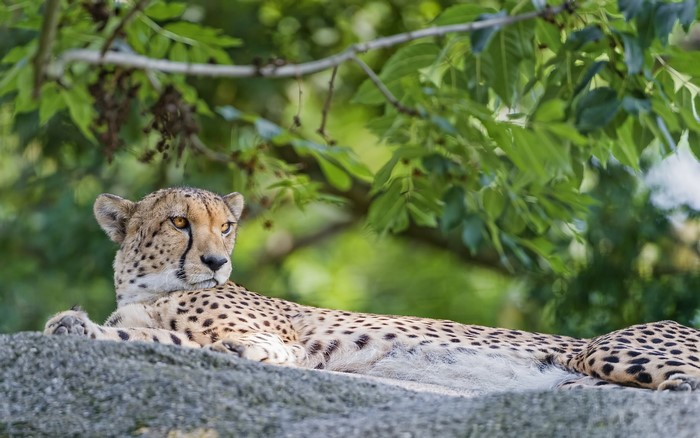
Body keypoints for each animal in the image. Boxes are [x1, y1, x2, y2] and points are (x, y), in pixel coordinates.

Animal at [44, 187, 700, 394]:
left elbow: (190, 346)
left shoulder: (272, 349)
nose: (215, 260)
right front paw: (72, 323)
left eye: (226, 225)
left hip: (606, 347)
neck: (150, 289)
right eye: (179, 222)